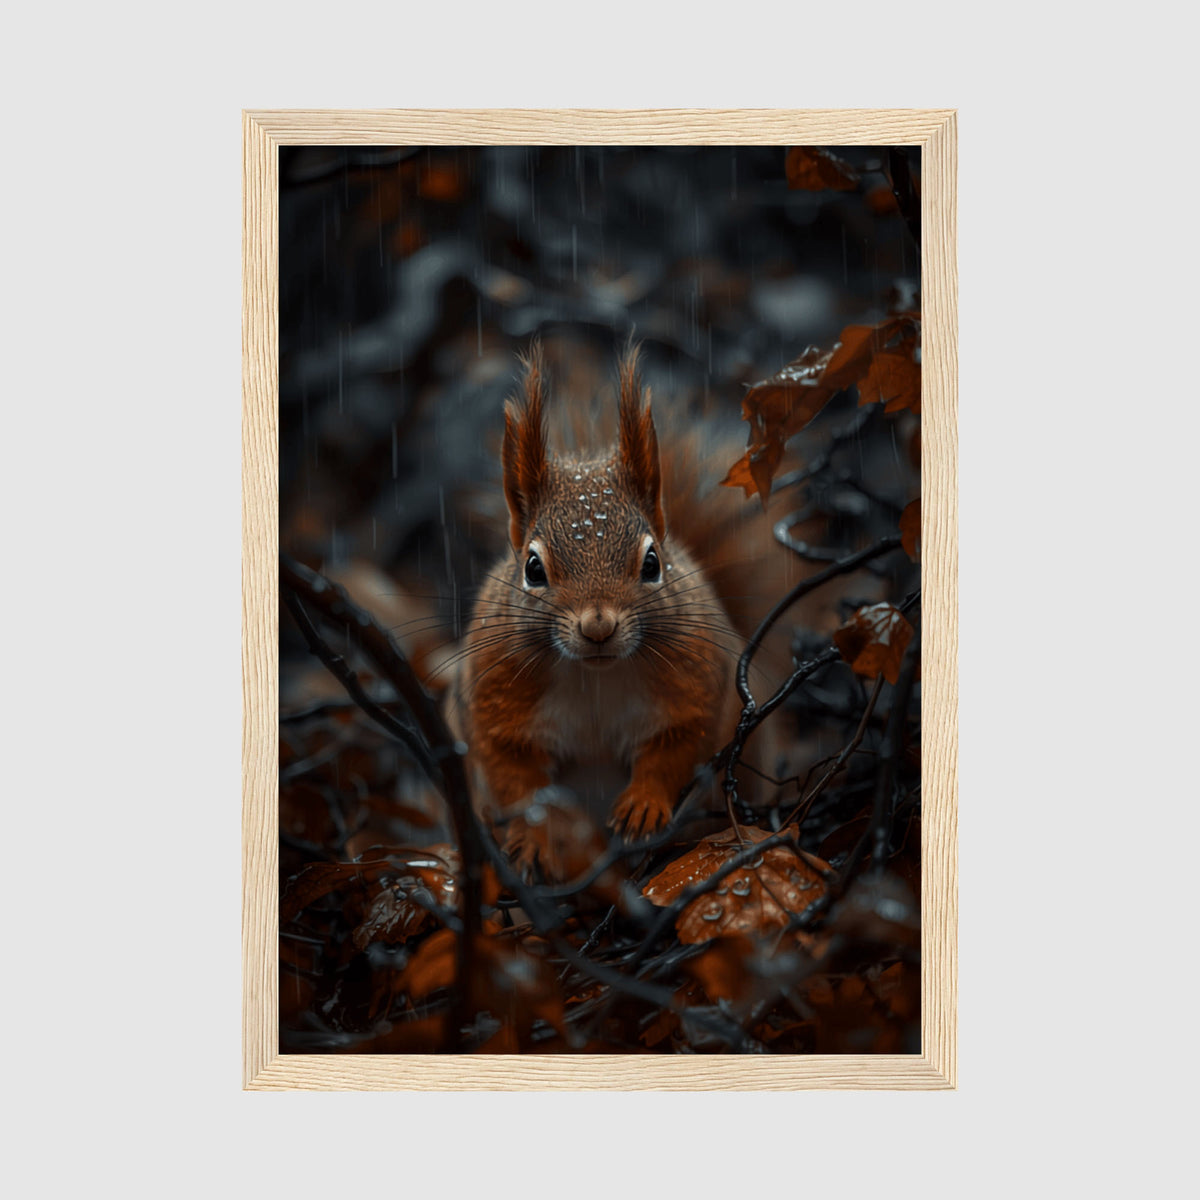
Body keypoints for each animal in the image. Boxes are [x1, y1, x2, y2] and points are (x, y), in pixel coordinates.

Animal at [442, 340, 816, 872]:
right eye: (533, 569)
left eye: (653, 563)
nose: (598, 627)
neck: (595, 677)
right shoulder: (495, 698)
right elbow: (515, 775)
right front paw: (536, 836)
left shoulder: (696, 685)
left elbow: (676, 748)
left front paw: (643, 804)